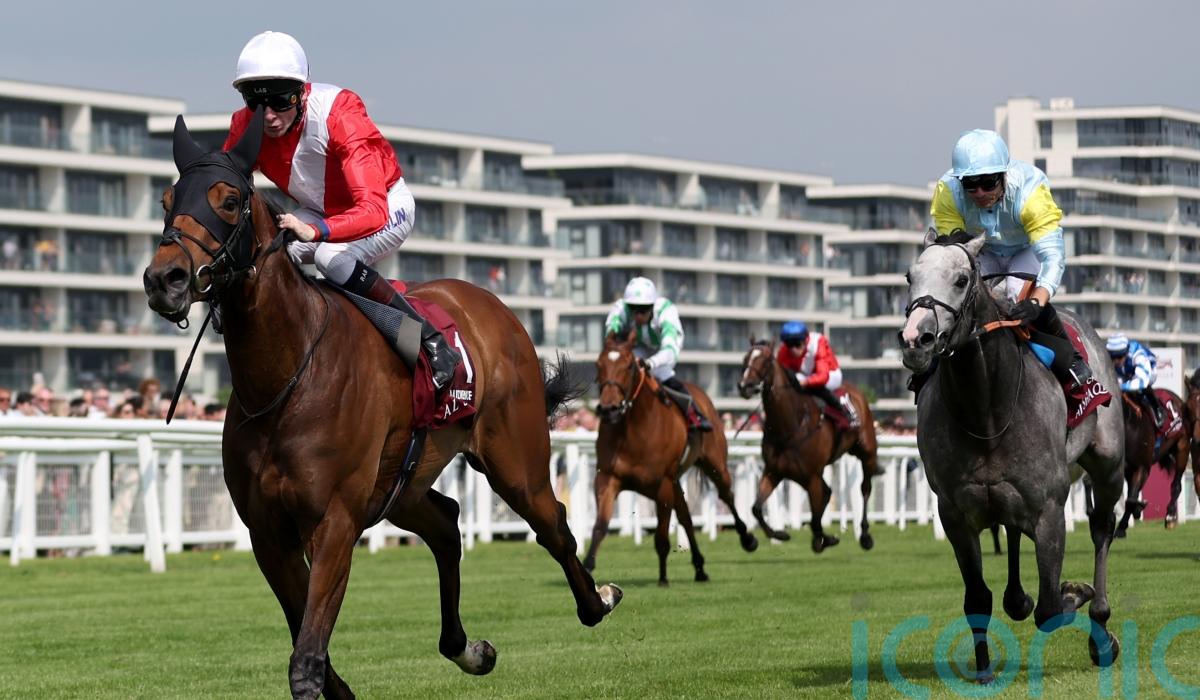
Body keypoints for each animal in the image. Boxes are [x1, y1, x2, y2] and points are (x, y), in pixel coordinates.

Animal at [142, 110, 621, 699]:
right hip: (403, 484)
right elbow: (310, 646)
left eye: (229, 200)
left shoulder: (335, 522)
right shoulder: (268, 533)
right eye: (167, 199)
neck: (286, 376)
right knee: (447, 523)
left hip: (515, 460)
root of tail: (493, 308)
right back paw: (467, 649)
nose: (164, 279)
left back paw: (598, 599)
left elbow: (307, 658)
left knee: (552, 523)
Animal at [585, 330, 758, 586]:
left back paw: (747, 538)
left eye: (629, 366)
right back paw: (700, 568)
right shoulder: (607, 477)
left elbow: (661, 535)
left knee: (726, 495)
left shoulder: (662, 483)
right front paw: (587, 566)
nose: (609, 409)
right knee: (686, 517)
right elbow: (600, 526)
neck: (634, 430)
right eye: (598, 364)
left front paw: (663, 578)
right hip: (676, 480)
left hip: (715, 465)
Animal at [736, 338, 880, 552]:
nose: (745, 386)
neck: (789, 425)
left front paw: (822, 539)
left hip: (866, 452)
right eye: (745, 358)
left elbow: (814, 517)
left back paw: (864, 535)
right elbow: (756, 508)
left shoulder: (811, 475)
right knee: (827, 492)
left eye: (766, 361)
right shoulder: (774, 471)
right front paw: (780, 534)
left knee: (865, 488)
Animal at [900, 230, 1124, 680]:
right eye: (910, 276)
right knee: (1012, 533)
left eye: (961, 279)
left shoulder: (1050, 508)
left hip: (1109, 467)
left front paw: (1075, 591)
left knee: (1101, 530)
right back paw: (1017, 598)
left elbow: (1052, 608)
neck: (986, 408)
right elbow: (977, 598)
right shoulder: (955, 512)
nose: (917, 340)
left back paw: (1101, 629)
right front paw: (984, 668)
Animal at [1116, 388, 1191, 536]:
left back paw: (1170, 517)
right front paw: (1135, 513)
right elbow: (1131, 496)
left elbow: (1131, 498)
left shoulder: (1142, 467)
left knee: (1176, 485)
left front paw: (1122, 526)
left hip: (1182, 448)